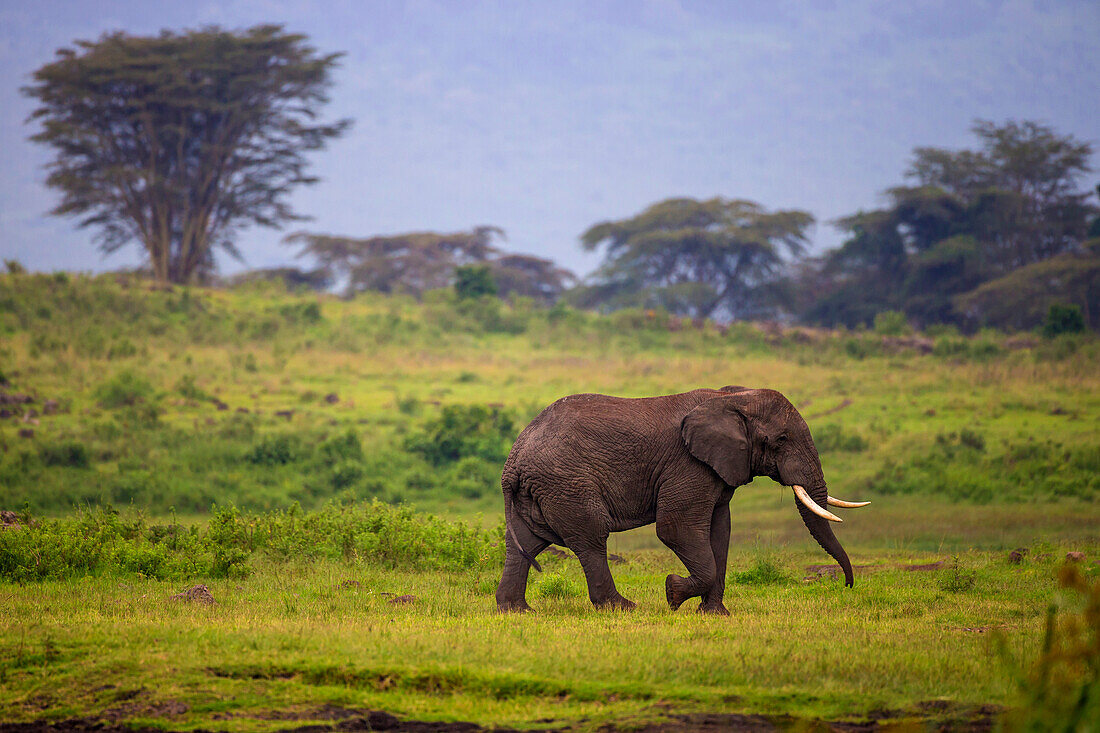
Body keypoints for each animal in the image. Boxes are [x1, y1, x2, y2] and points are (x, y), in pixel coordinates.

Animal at [497, 385, 866, 611]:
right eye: (781, 439)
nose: (847, 587)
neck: (730, 397)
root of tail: (513, 459)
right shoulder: (688, 464)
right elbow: (676, 527)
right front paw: (672, 593)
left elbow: (720, 531)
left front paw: (715, 614)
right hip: (566, 482)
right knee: (591, 538)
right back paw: (622, 608)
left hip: (541, 490)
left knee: (526, 544)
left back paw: (517, 611)